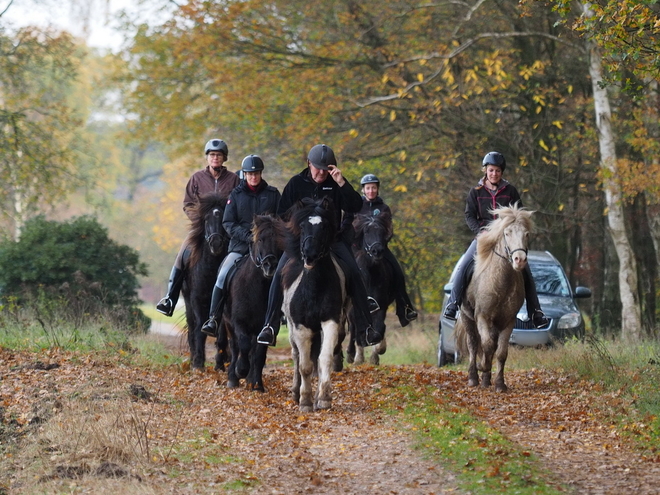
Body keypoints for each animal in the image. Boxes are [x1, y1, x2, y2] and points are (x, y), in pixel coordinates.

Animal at [180, 194, 229, 372]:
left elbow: (221, 334)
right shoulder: (197, 300)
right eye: (206, 219)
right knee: (192, 327)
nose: (216, 244)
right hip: (187, 302)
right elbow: (199, 330)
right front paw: (198, 363)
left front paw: (220, 364)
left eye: (223, 218)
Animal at [223, 215, 284, 394]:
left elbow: (259, 354)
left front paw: (256, 384)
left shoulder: (269, 326)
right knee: (235, 346)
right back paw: (233, 377)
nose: (270, 265)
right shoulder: (239, 322)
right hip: (227, 323)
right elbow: (243, 345)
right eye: (260, 239)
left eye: (280, 240)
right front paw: (241, 370)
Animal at [280, 199, 348, 414]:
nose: (309, 255)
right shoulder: (301, 327)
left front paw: (324, 398)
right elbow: (305, 365)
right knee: (296, 356)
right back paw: (296, 392)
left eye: (324, 226)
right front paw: (305, 401)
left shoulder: (330, 322)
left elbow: (323, 358)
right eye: (302, 226)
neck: (315, 287)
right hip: (292, 329)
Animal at [348, 213, 394, 364]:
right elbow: (359, 328)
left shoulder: (381, 305)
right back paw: (351, 354)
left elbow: (379, 328)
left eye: (382, 232)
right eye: (367, 232)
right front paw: (358, 357)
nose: (377, 251)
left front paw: (377, 352)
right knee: (352, 326)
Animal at [456, 203, 532, 394]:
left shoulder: (508, 320)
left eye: (526, 234)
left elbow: (501, 352)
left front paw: (499, 383)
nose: (519, 260)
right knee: (473, 344)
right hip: (467, 317)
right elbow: (487, 346)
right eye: (507, 233)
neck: (501, 282)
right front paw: (482, 369)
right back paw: (474, 377)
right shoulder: (482, 316)